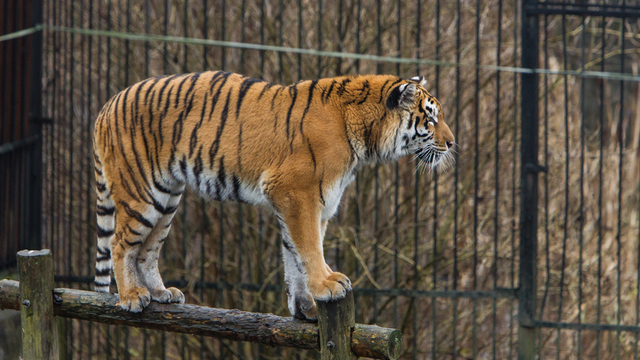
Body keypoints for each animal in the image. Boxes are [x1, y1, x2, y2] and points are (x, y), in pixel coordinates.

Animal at [94, 71, 456, 320]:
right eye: (430, 118)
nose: (453, 142)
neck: (365, 137)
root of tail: (107, 105)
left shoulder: (313, 200)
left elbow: (293, 256)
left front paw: (307, 306)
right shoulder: (297, 192)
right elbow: (308, 247)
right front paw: (327, 286)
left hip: (167, 197)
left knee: (147, 249)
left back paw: (160, 293)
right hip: (141, 192)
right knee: (119, 243)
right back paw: (131, 296)